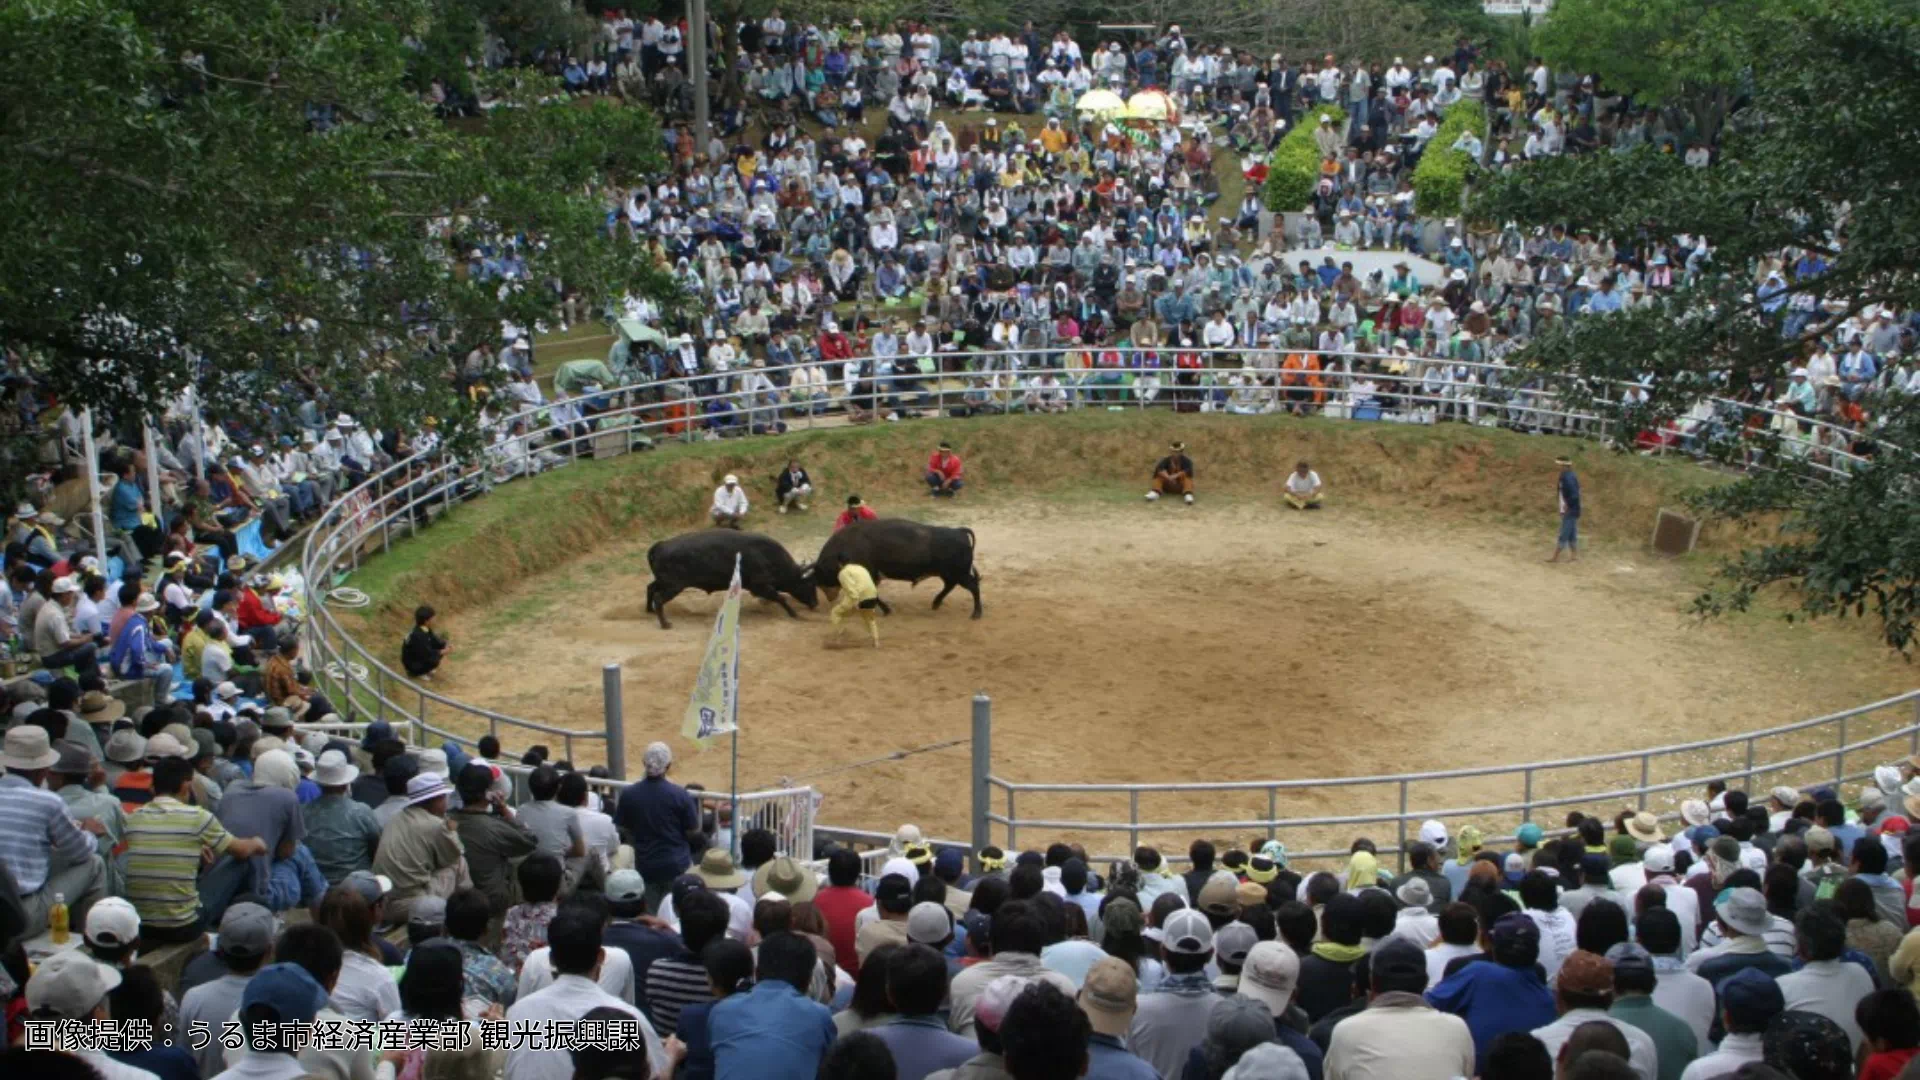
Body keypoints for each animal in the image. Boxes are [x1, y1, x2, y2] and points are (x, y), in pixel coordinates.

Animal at [645, 526, 817, 626]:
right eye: (809, 584)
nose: (815, 603)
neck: (769, 556)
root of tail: (661, 545)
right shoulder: (760, 586)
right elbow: (781, 598)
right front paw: (794, 614)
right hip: (673, 586)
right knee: (658, 598)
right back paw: (665, 623)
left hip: (664, 582)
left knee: (650, 588)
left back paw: (650, 610)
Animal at [814, 518, 983, 618]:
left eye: (823, 573)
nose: (829, 597)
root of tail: (959, 531)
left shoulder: (869, 576)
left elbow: (873, 595)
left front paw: (885, 610)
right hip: (950, 573)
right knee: (950, 585)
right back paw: (935, 604)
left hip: (958, 573)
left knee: (973, 586)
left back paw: (976, 614)